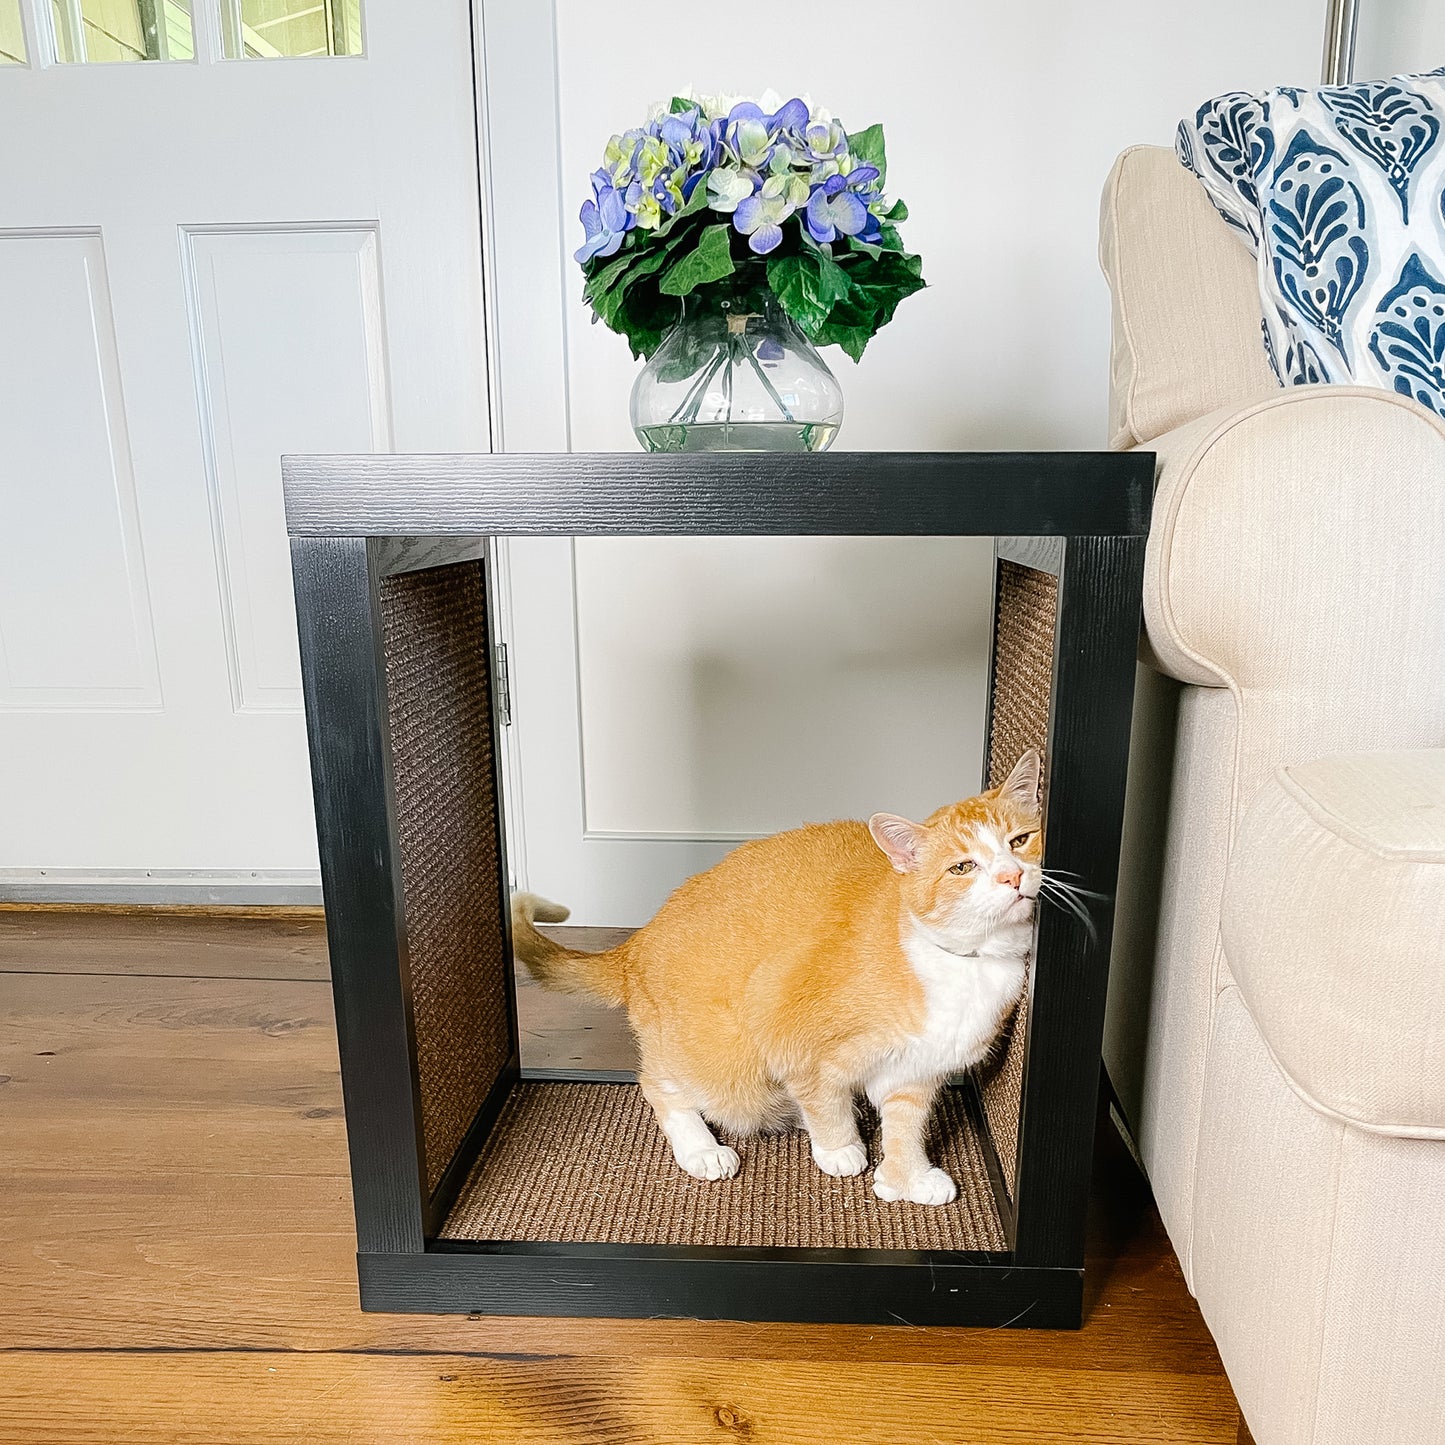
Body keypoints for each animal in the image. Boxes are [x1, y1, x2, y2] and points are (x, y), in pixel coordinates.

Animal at [514, 751, 1046, 1202]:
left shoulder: (916, 1072)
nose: (1012, 876)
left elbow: (906, 1125)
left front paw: (905, 1178)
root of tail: (639, 941)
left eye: (1020, 841)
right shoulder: (791, 1033)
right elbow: (824, 1101)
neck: (967, 962)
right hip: (729, 1065)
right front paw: (840, 1148)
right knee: (657, 1081)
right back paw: (701, 1148)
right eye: (962, 867)